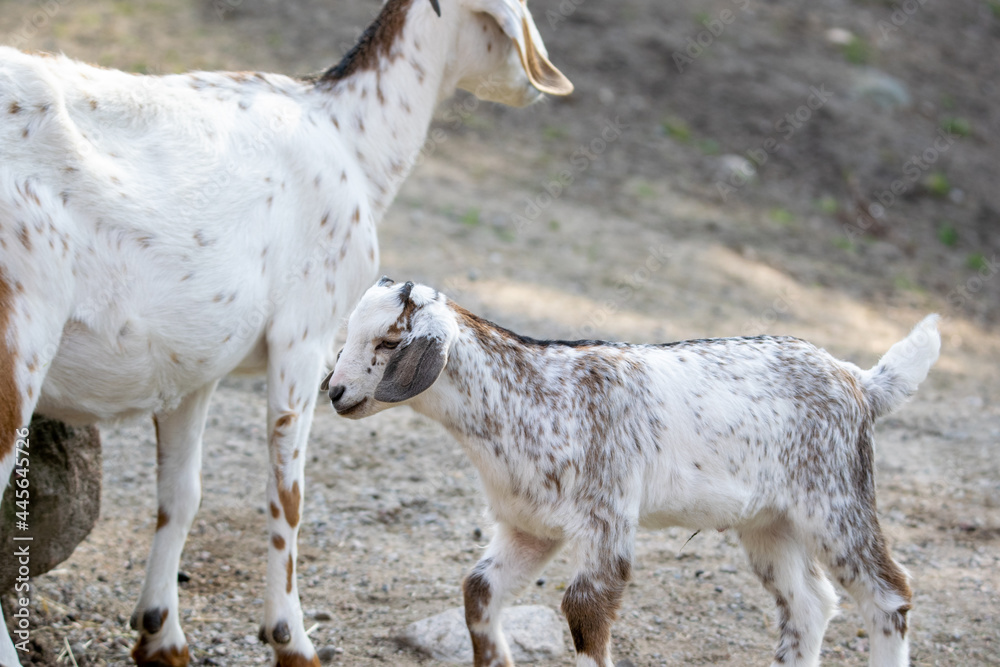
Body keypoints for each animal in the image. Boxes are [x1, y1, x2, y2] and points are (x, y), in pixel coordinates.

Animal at [0, 1, 571, 664]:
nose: (536, 84)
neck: (348, 135)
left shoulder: (194, 366)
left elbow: (181, 494)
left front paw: (161, 636)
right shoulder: (305, 335)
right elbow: (288, 495)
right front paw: (290, 639)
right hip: (19, 337)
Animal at [323, 278, 941, 667]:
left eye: (390, 341)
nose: (334, 391)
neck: (531, 394)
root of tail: (858, 379)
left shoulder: (607, 512)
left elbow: (584, 608)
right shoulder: (529, 526)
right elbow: (479, 589)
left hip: (835, 499)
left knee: (888, 594)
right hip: (769, 522)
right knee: (809, 606)